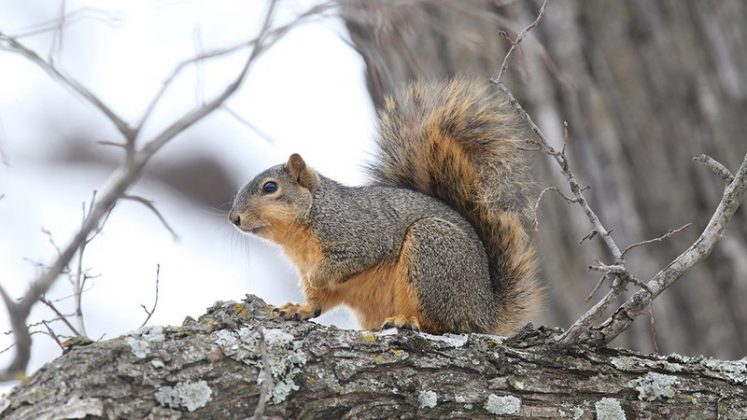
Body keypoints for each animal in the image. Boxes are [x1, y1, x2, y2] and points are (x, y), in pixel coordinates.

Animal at [231, 77, 540, 336]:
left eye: (270, 188)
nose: (234, 218)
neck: (301, 233)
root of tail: (485, 312)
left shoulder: (358, 235)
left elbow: (348, 261)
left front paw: (318, 277)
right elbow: (319, 302)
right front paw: (300, 308)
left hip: (432, 254)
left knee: (442, 323)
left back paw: (407, 320)